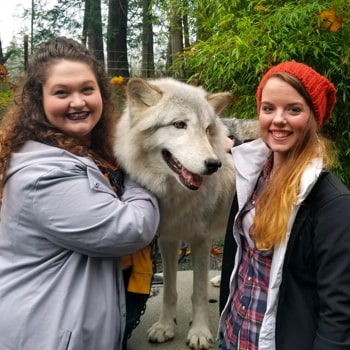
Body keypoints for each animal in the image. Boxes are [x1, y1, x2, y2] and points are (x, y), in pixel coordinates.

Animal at [116, 78, 256, 348]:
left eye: (207, 129)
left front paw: (199, 332)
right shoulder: (168, 239)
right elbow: (170, 291)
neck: (176, 195)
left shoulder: (200, 240)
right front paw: (165, 326)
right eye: (179, 124)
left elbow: (198, 292)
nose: (214, 164)